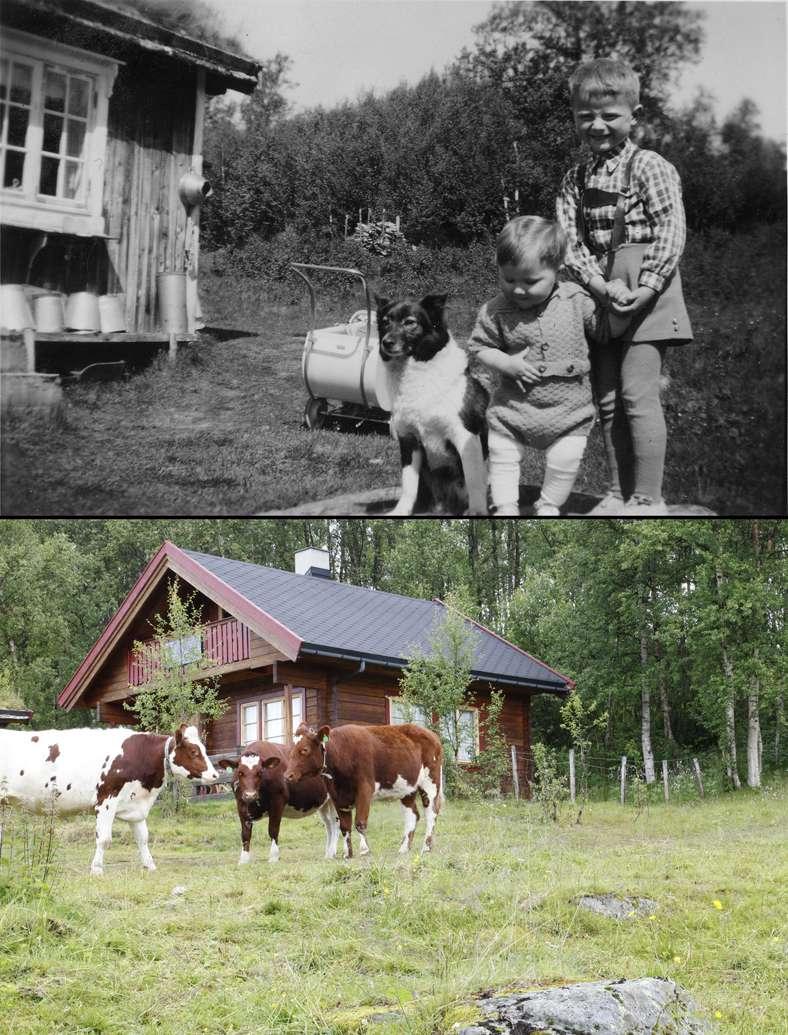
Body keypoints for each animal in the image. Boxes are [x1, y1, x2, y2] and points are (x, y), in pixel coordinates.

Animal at [0, 724, 216, 877]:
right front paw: (96, 869)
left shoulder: (136, 806)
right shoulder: (106, 800)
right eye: (194, 752)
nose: (215, 775)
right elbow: (104, 839)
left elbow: (143, 838)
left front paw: (150, 865)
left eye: (204, 749)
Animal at [216, 736, 337, 865]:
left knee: (336, 823)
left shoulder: (277, 802)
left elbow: (273, 830)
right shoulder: (241, 804)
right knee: (329, 824)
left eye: (260, 772)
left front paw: (273, 857)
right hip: (324, 803)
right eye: (240, 772)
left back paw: (333, 852)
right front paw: (244, 860)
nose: (250, 795)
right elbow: (245, 834)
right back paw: (328, 854)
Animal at [283, 720, 443, 856]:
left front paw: (364, 849)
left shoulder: (365, 789)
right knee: (412, 815)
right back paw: (403, 849)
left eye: (304, 750)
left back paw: (426, 847)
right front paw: (347, 853)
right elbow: (345, 826)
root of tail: (432, 734)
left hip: (430, 782)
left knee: (431, 813)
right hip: (407, 788)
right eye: (291, 750)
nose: (287, 775)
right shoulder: (337, 797)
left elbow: (360, 822)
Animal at [372, 293, 486, 515]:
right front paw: (401, 511)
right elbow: (409, 484)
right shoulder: (408, 440)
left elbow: (474, 480)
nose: (386, 342)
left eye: (410, 322)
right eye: (385, 321)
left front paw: (477, 511)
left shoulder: (465, 435)